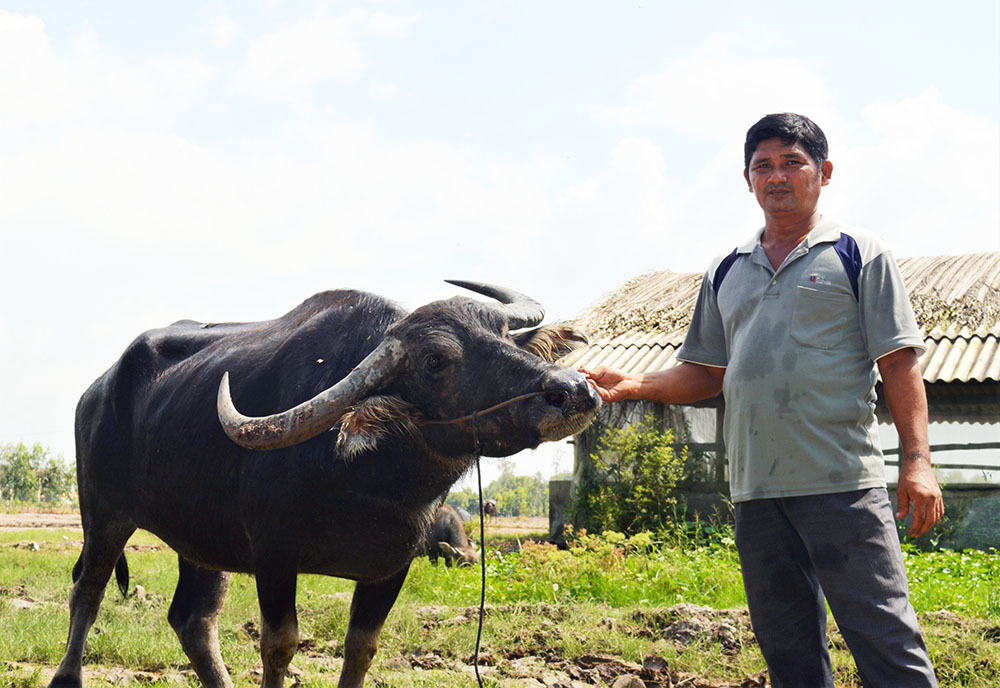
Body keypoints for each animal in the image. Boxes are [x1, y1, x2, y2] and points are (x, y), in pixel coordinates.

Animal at [50, 280, 596, 688]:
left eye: (503, 332)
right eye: (435, 361)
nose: (574, 389)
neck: (368, 482)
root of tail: (95, 391)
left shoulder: (392, 567)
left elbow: (361, 649)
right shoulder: (273, 555)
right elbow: (279, 646)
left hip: (202, 541)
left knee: (194, 619)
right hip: (102, 515)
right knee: (88, 591)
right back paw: (67, 676)